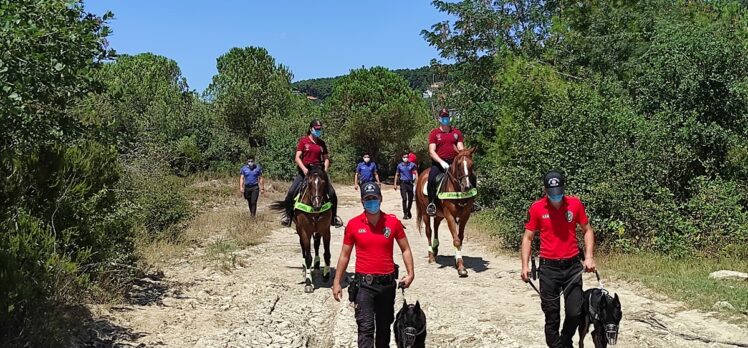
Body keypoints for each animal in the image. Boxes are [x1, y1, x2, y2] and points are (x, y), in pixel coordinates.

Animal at [412, 147, 476, 278]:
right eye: (459, 164)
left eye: (472, 164)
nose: (467, 186)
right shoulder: (450, 216)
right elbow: (456, 240)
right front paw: (461, 267)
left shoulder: (465, 215)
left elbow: (460, 238)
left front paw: (457, 260)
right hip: (426, 213)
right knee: (429, 231)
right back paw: (431, 255)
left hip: (440, 214)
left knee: (436, 225)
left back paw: (435, 248)